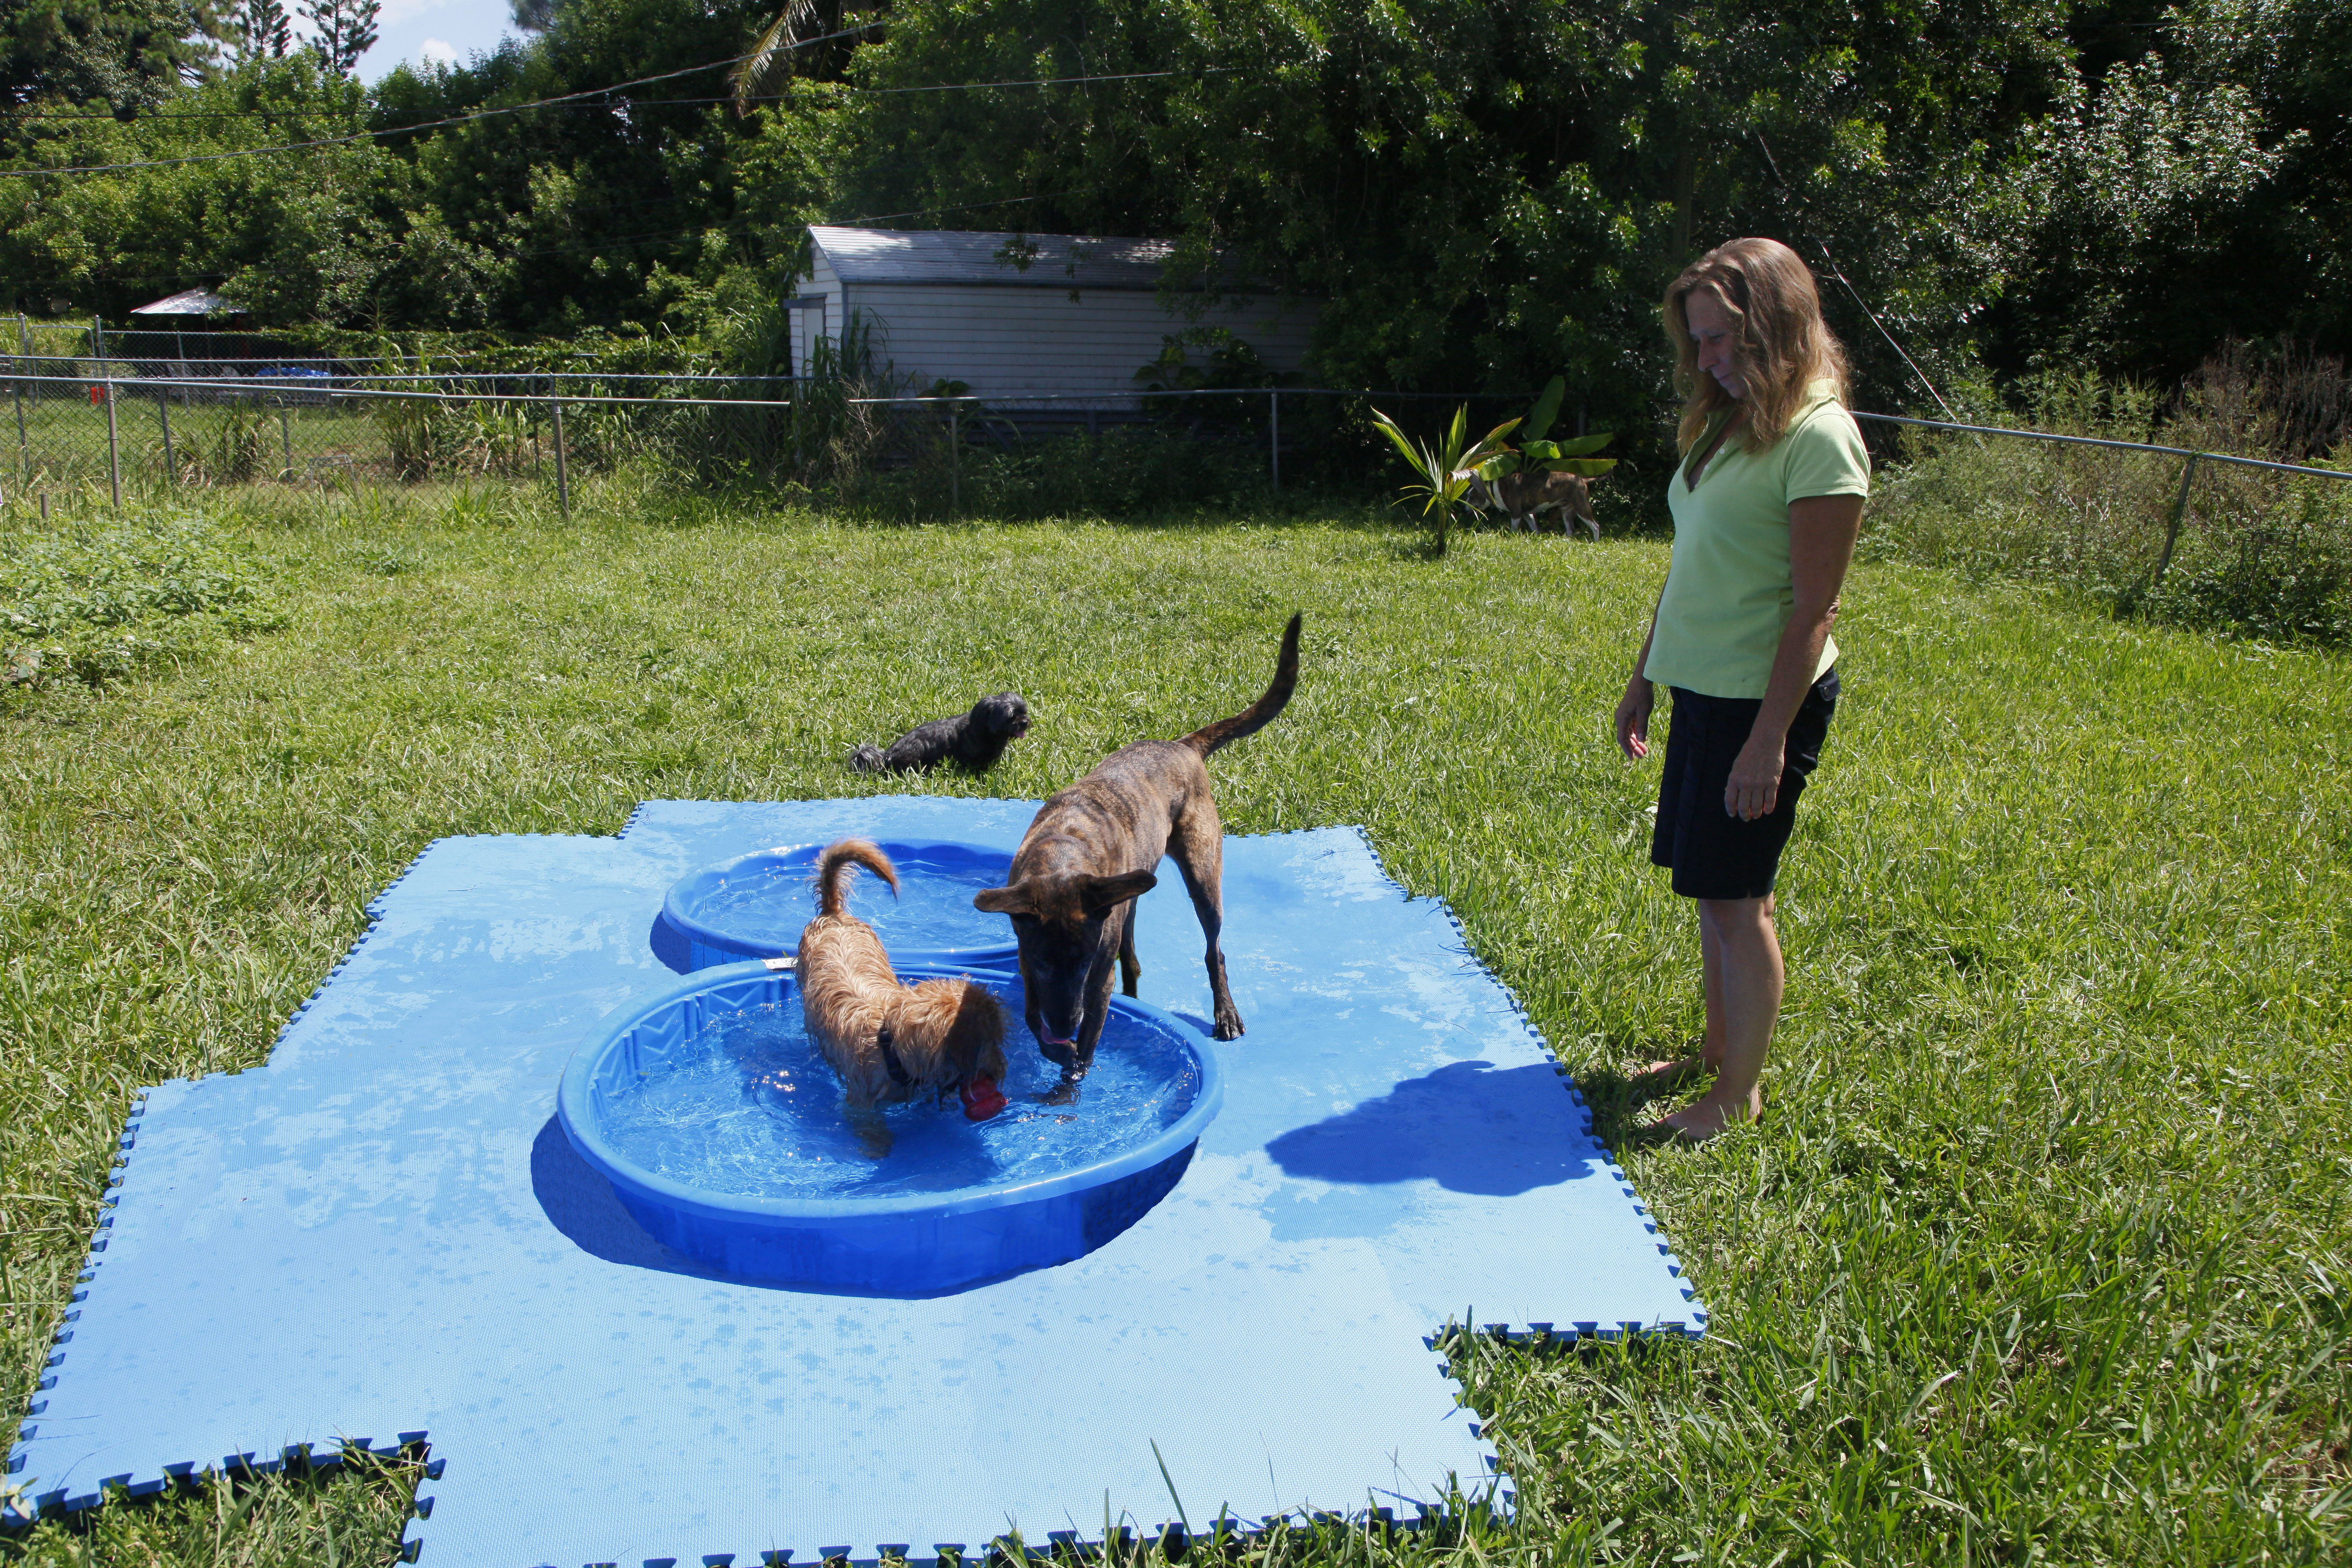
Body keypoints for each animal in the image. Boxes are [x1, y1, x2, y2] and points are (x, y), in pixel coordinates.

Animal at [795, 841, 1006, 1147]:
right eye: (991, 1042)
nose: (1001, 1070)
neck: (889, 1042)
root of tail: (832, 913)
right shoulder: (860, 1103)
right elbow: (869, 1123)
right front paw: (880, 1146)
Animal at [974, 611, 1308, 1081]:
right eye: (1042, 963)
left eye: (1082, 962)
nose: (1065, 1026)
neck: (1062, 856)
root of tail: (1183, 746)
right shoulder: (1029, 960)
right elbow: (1032, 1015)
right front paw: (1055, 1049)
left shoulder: (1097, 979)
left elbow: (1089, 1038)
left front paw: (1073, 1068)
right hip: (1129, 895)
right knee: (1132, 959)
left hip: (1203, 876)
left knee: (1215, 951)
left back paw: (1225, 1012)